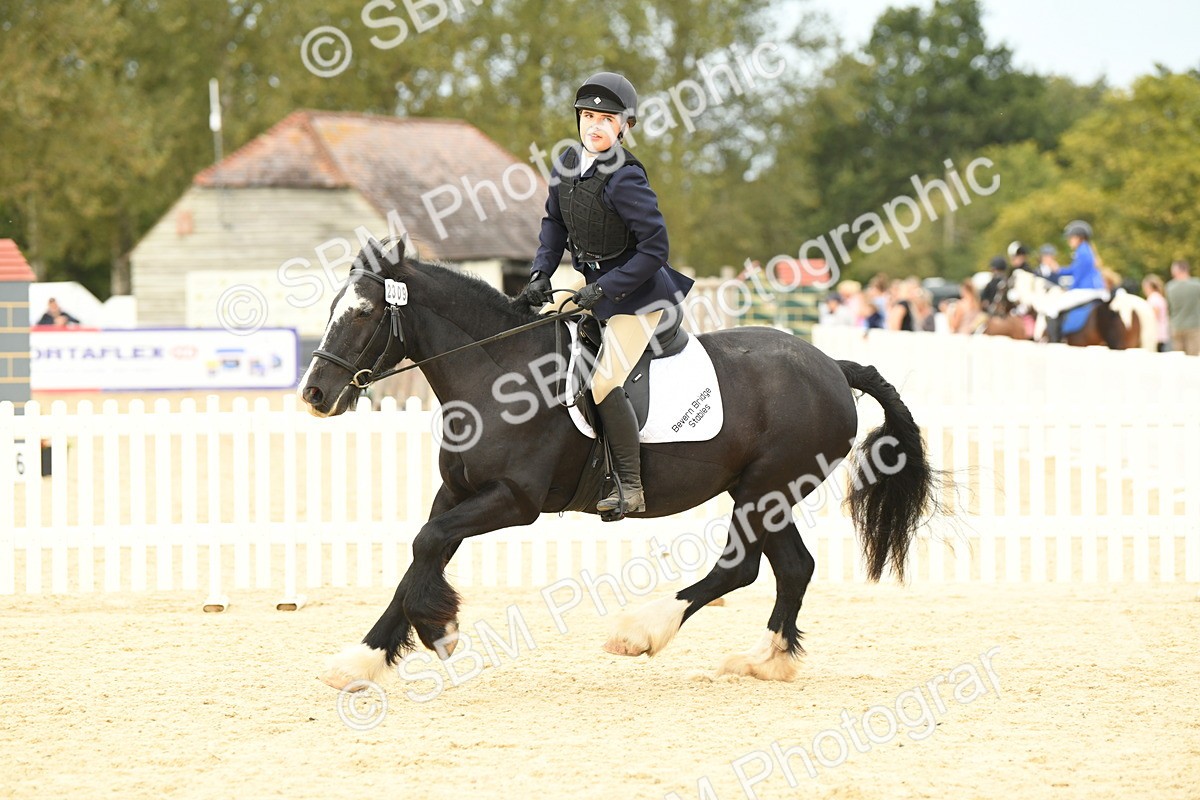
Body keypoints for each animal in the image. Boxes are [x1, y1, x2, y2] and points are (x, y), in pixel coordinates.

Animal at [299, 237, 938, 687]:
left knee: (742, 568)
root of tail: (832, 365)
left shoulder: (513, 500)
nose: (314, 394)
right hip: (762, 492)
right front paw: (360, 660)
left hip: (766, 489)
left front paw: (442, 630)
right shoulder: (458, 494)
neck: (499, 374)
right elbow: (422, 553)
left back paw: (641, 634)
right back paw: (764, 659)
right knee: (791, 567)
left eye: (362, 314)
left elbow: (427, 545)